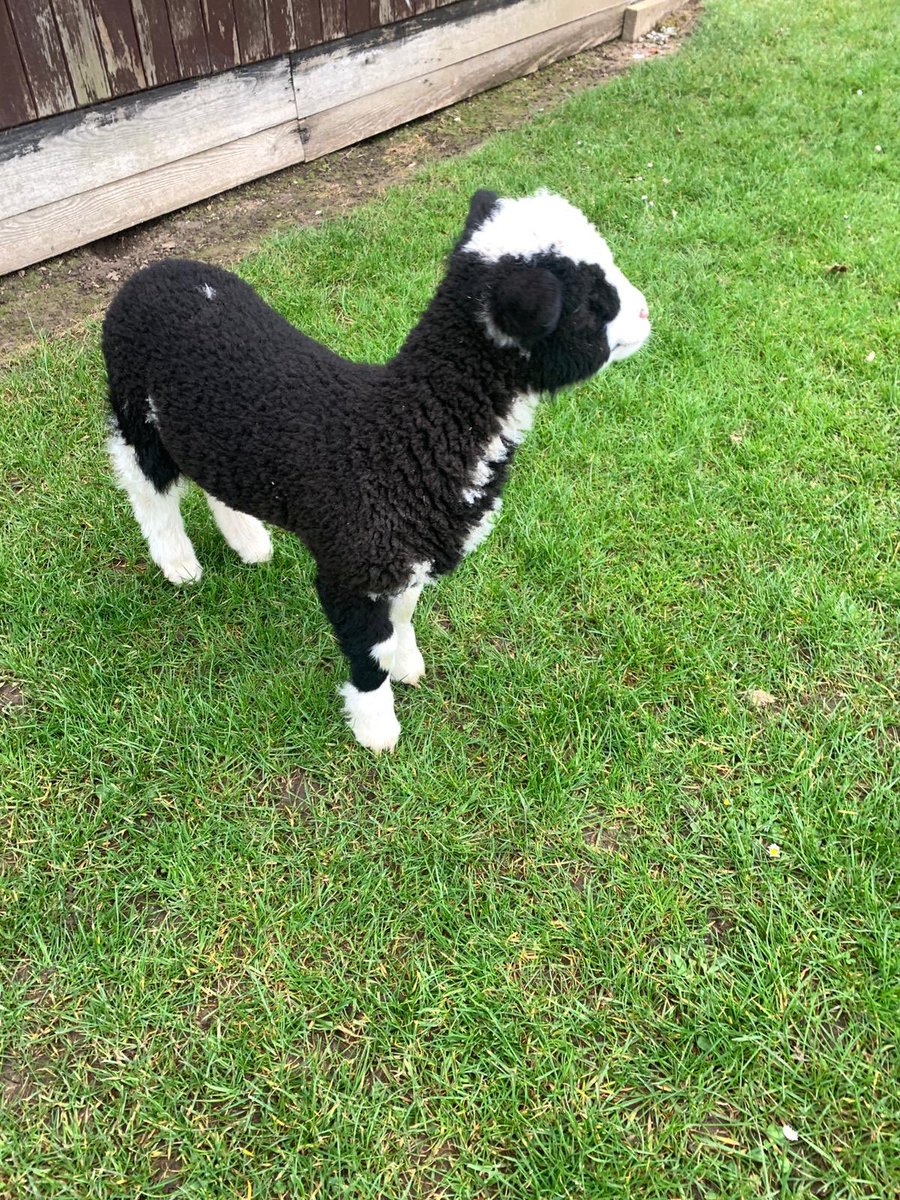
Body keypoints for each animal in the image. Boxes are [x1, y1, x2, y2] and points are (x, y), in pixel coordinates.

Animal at [102, 189, 651, 752]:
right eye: (590, 304)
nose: (647, 312)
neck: (407, 434)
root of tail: (151, 272)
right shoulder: (352, 565)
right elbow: (370, 650)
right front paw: (377, 730)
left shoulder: (406, 553)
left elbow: (402, 617)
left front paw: (408, 667)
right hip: (134, 402)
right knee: (146, 482)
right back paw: (178, 564)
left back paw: (249, 542)